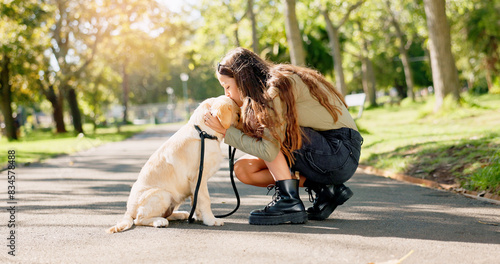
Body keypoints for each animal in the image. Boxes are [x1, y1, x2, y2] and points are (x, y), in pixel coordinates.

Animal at [108, 95, 241, 233]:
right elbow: (205, 200)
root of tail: (128, 211)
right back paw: (159, 221)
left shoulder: (195, 183)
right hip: (162, 194)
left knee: (166, 214)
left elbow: (196, 201)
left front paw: (200, 217)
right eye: (237, 115)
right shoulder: (199, 177)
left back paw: (181, 214)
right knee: (139, 219)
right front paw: (211, 220)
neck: (204, 133)